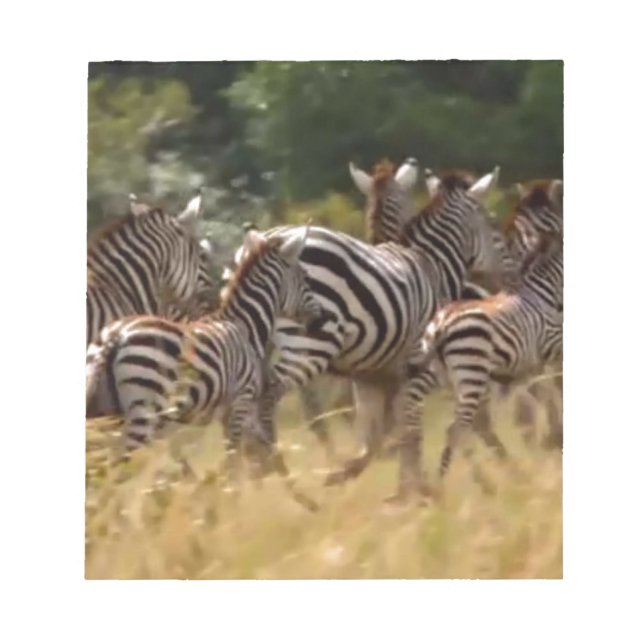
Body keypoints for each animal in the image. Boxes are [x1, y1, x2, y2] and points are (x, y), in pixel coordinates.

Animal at [85, 226, 330, 504]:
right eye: (306, 277)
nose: (321, 319)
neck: (244, 326)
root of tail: (115, 336)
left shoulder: (230, 411)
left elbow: (252, 453)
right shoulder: (241, 401)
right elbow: (234, 460)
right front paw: (228, 502)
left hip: (105, 412)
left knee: (99, 470)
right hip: (142, 413)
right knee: (115, 469)